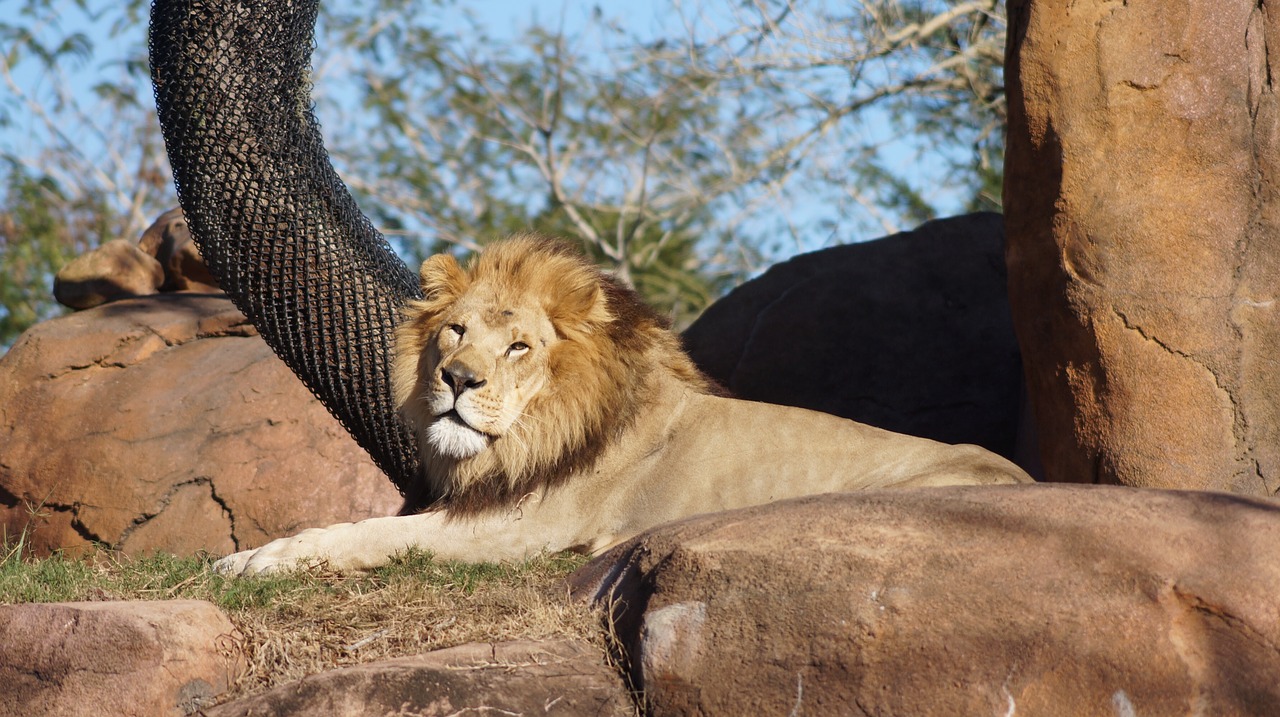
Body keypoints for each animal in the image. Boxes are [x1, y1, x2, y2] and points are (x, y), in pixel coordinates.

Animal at [215, 235, 1034, 576]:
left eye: (519, 348)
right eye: (456, 330)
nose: (456, 378)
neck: (538, 426)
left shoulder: (524, 529)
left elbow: (371, 534)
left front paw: (264, 559)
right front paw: (252, 554)